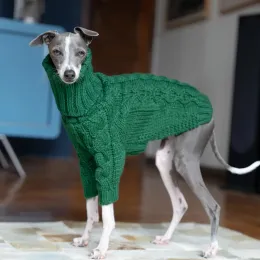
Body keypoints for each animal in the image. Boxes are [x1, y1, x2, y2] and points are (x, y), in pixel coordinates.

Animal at [29, 27, 260, 258]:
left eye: (81, 53)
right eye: (56, 52)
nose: (69, 75)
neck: (90, 99)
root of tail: (209, 108)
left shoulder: (110, 160)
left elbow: (108, 216)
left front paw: (101, 248)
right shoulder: (87, 162)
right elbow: (91, 211)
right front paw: (85, 239)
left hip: (186, 161)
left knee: (213, 206)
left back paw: (211, 248)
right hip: (164, 160)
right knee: (181, 204)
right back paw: (166, 238)